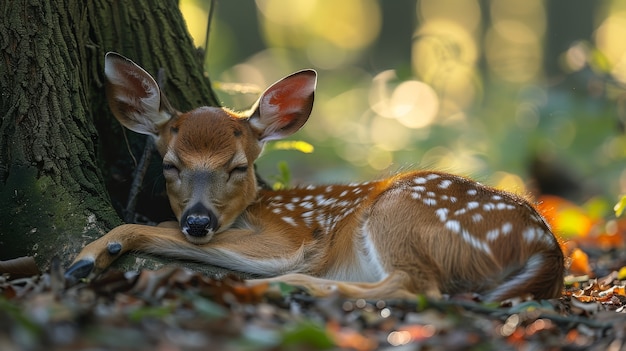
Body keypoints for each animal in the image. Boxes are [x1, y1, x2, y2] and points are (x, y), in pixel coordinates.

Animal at [66, 52, 564, 302]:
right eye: (170, 165)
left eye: (238, 167)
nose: (199, 221)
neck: (254, 209)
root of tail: (548, 248)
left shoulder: (288, 239)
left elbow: (157, 228)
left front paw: (87, 257)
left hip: (400, 210)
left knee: (417, 287)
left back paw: (282, 285)